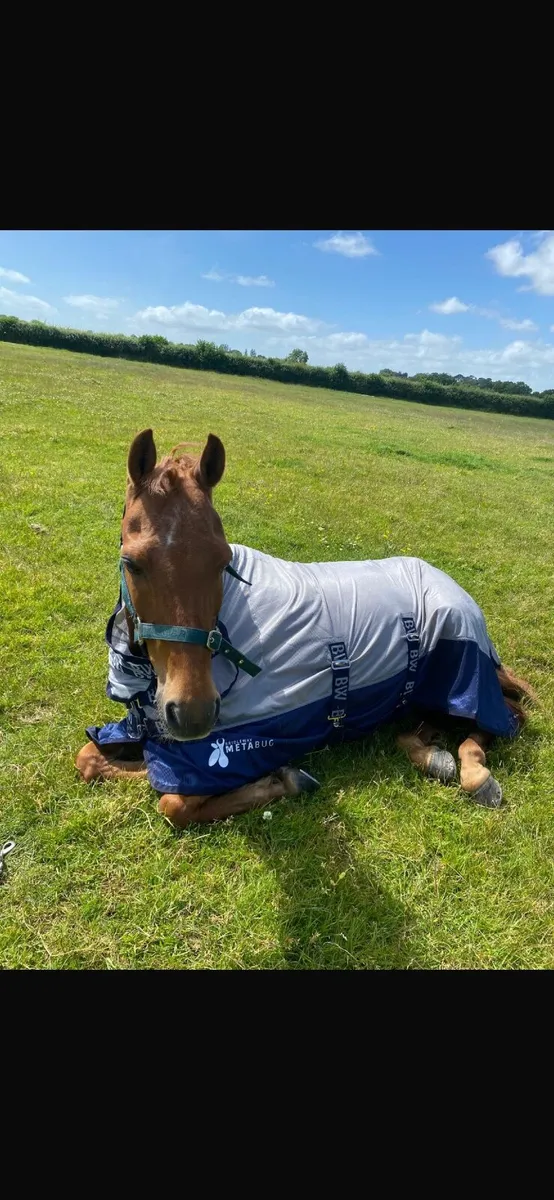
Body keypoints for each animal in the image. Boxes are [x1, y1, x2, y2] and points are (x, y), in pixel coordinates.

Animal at [76, 428, 535, 828]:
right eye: (133, 563)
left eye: (223, 561)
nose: (193, 714)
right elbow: (89, 759)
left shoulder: (225, 751)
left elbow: (172, 801)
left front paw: (286, 777)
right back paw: (433, 756)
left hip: (461, 680)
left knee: (508, 717)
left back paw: (476, 775)